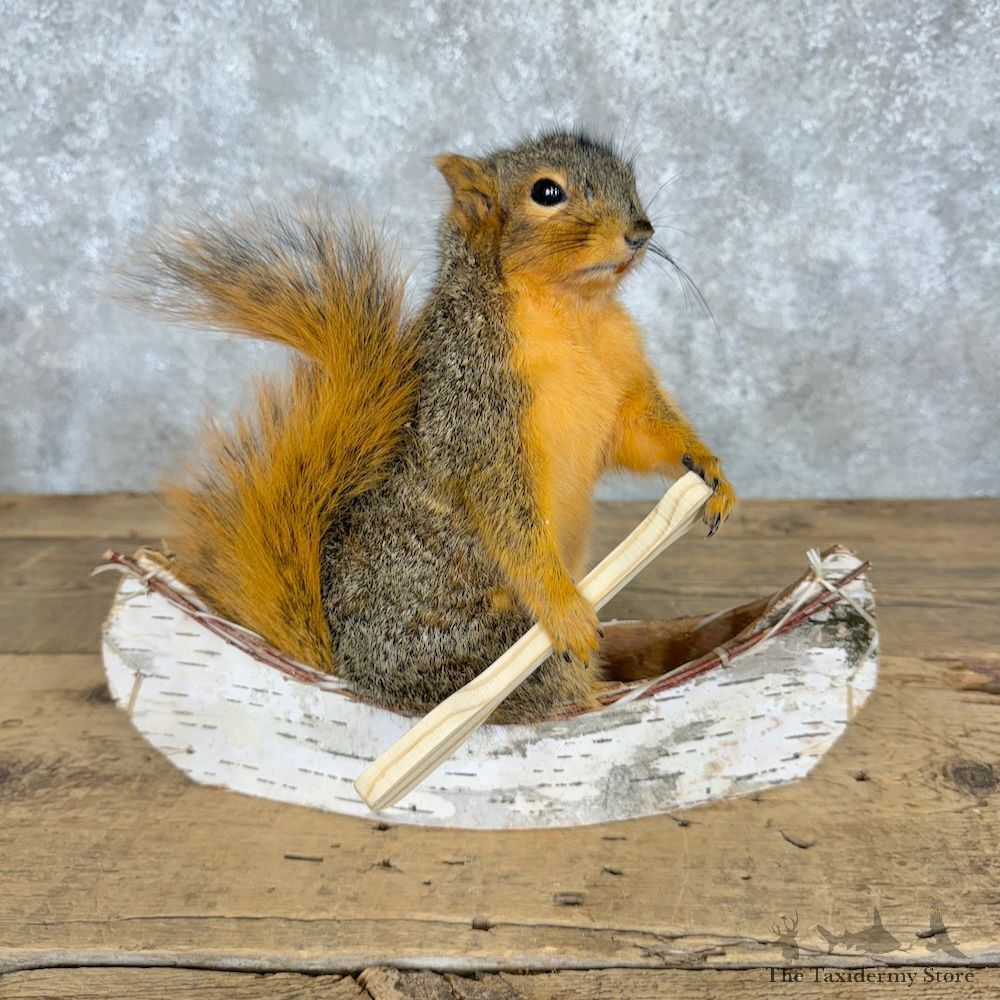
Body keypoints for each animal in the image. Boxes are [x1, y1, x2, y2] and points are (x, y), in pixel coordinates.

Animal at [123, 129, 735, 723]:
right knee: (535, 695)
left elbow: (640, 433)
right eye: (546, 192)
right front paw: (563, 608)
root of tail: (350, 671)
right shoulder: (476, 412)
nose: (640, 231)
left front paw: (710, 471)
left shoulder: (622, 390)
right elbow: (508, 514)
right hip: (485, 646)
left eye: (629, 177)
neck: (574, 309)